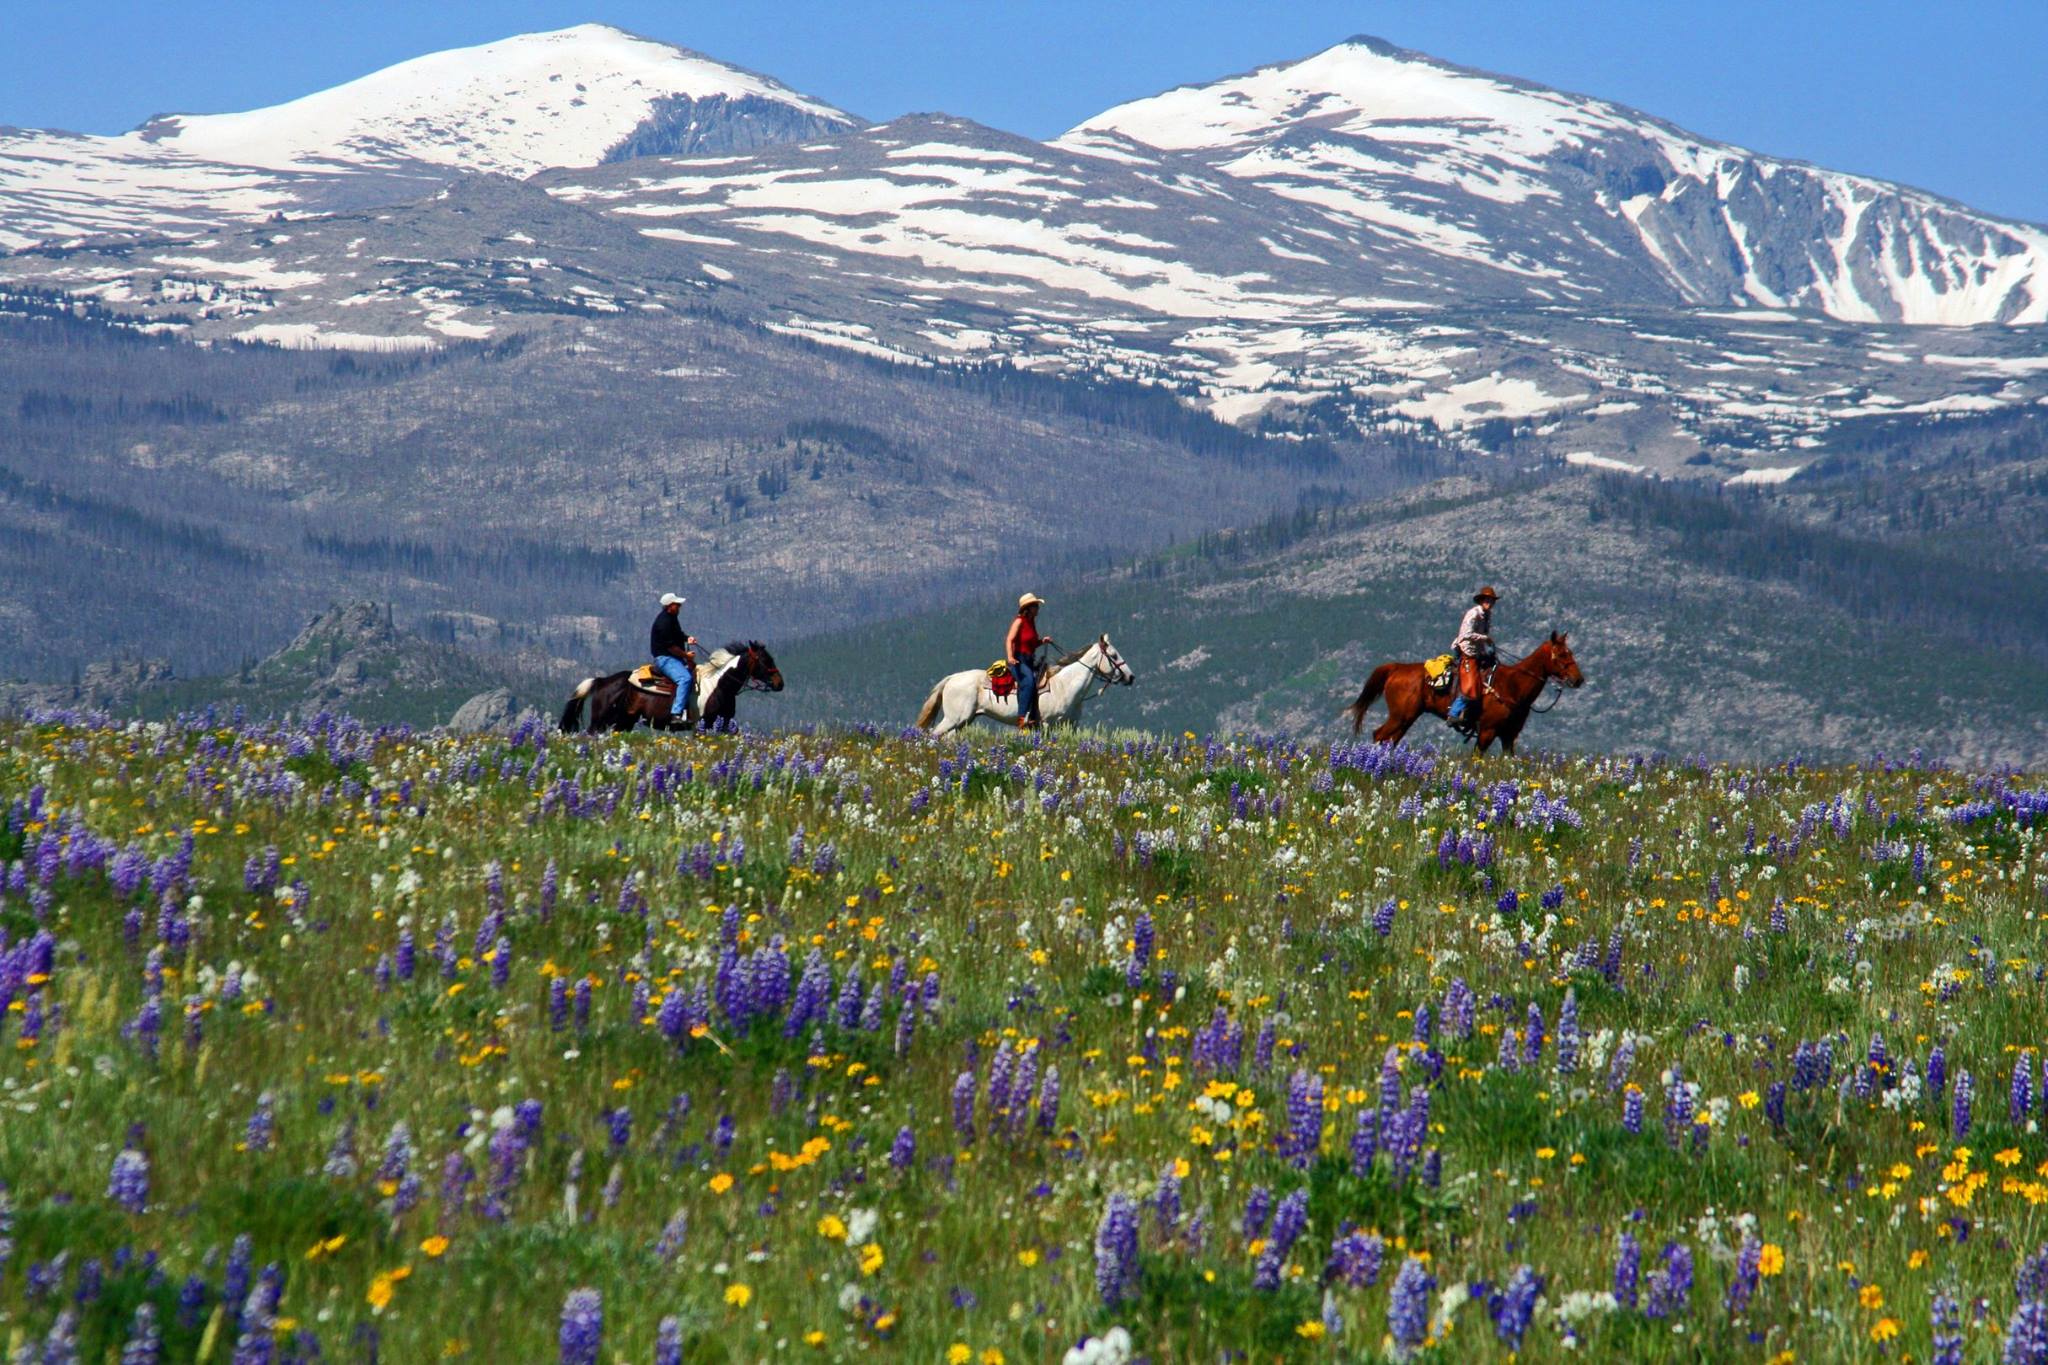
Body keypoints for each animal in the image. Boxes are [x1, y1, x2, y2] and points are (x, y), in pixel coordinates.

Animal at [561, 642, 782, 736]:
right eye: (765, 660)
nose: (780, 683)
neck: (718, 685)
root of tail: (602, 681)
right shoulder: (703, 724)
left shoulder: (724, 723)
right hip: (600, 720)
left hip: (624, 722)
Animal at [917, 638, 1138, 740]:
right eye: (1114, 655)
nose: (1131, 677)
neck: (1065, 686)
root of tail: (951, 678)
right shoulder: (1047, 724)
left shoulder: (1071, 725)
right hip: (953, 719)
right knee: (933, 735)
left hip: (963, 721)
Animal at [1343, 634, 1581, 757]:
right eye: (1561, 654)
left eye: (1570, 652)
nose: (1578, 679)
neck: (1514, 686)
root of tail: (1396, 668)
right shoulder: (1487, 730)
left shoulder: (1508, 734)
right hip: (1400, 716)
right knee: (1379, 735)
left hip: (1407, 718)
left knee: (1389, 740)